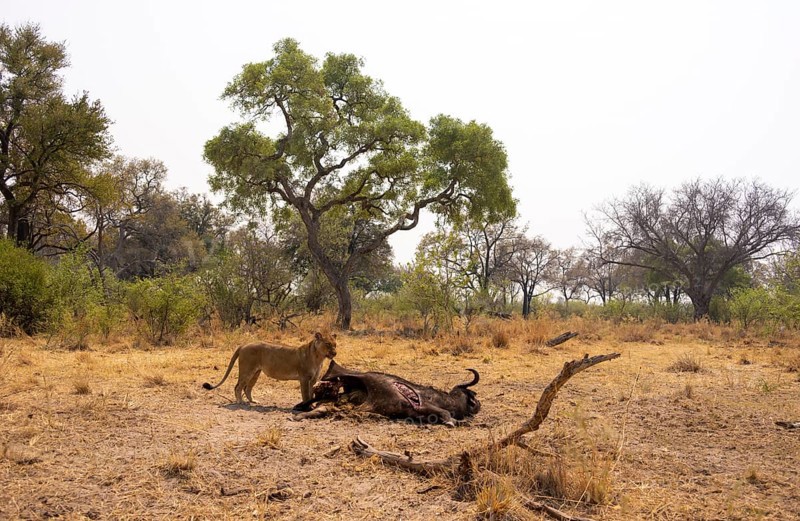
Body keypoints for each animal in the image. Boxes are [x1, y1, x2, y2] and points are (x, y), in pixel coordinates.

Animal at [202, 331, 337, 404]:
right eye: (327, 344)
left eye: (335, 344)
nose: (335, 353)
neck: (319, 358)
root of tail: (244, 345)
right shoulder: (304, 378)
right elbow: (305, 394)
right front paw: (305, 405)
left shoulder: (313, 379)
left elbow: (311, 393)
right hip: (247, 370)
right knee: (238, 387)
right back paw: (240, 402)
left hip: (256, 372)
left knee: (247, 388)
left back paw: (253, 401)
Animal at [292, 361, 481, 426]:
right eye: (472, 395)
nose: (479, 405)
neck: (449, 399)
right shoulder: (423, 405)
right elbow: (445, 413)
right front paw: (452, 421)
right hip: (350, 375)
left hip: (331, 402)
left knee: (320, 406)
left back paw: (299, 413)